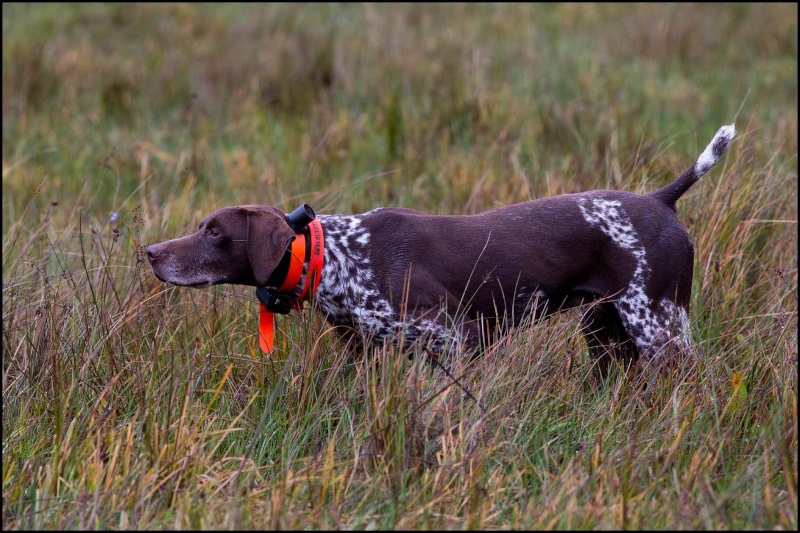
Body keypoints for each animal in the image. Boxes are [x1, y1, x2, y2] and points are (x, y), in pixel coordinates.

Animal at [147, 124, 736, 368]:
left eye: (215, 231)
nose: (151, 253)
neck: (335, 258)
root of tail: (661, 200)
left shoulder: (458, 339)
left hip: (660, 330)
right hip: (607, 333)